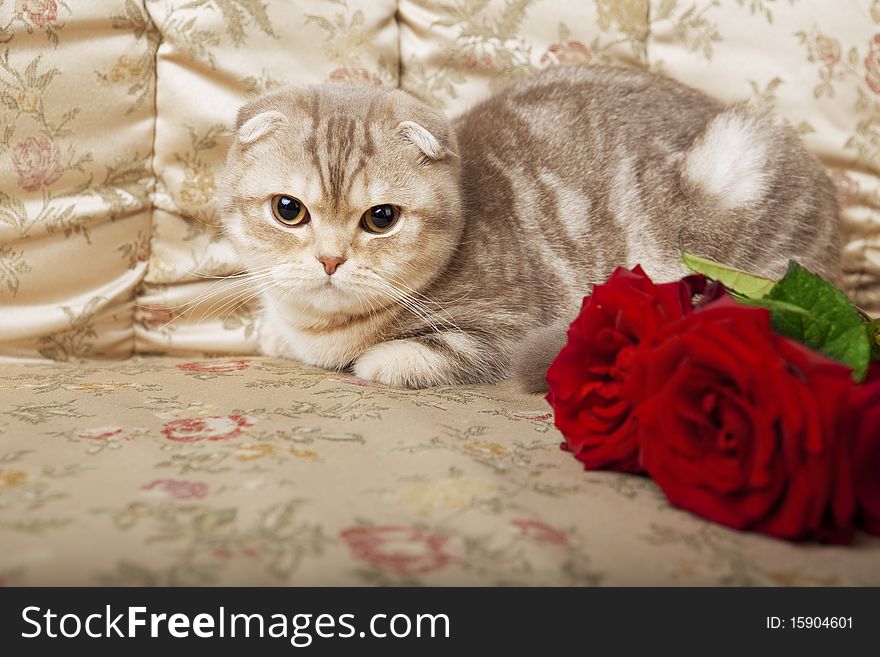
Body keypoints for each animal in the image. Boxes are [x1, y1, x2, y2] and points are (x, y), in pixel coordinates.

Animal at [218, 64, 840, 390]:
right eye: (289, 210)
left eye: (381, 218)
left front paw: (371, 358)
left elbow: (406, 356)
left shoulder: (504, 326)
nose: (330, 259)